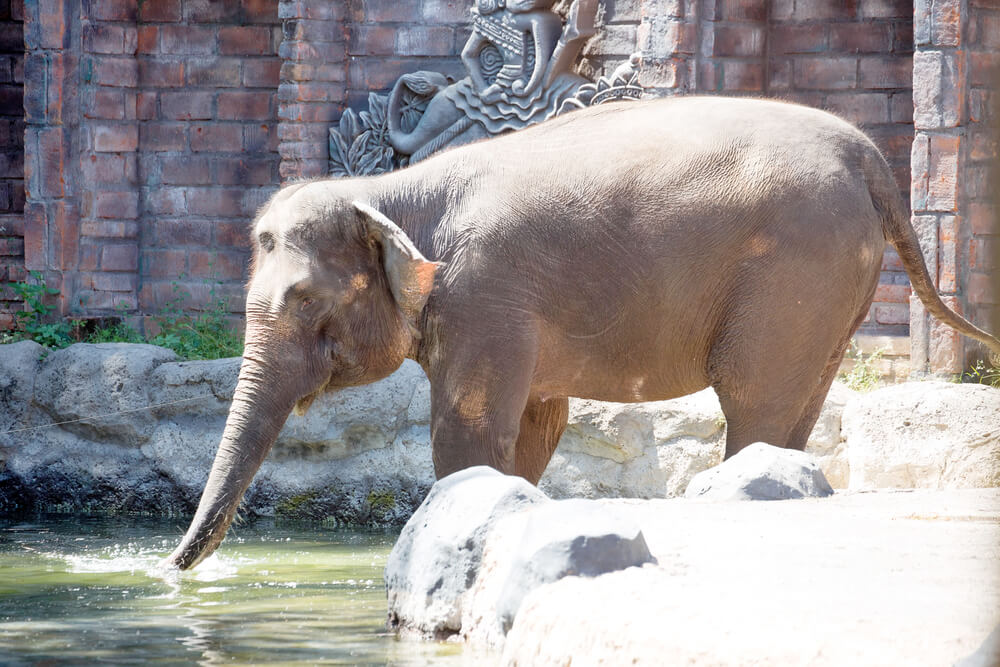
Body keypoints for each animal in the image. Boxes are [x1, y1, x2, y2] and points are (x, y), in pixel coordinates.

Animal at [166, 96, 1000, 569]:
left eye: (305, 300)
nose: (170, 569)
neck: (389, 192)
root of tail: (871, 158)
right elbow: (534, 429)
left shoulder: (484, 295)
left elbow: (468, 432)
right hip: (832, 288)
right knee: (793, 408)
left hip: (795, 272)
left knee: (754, 398)